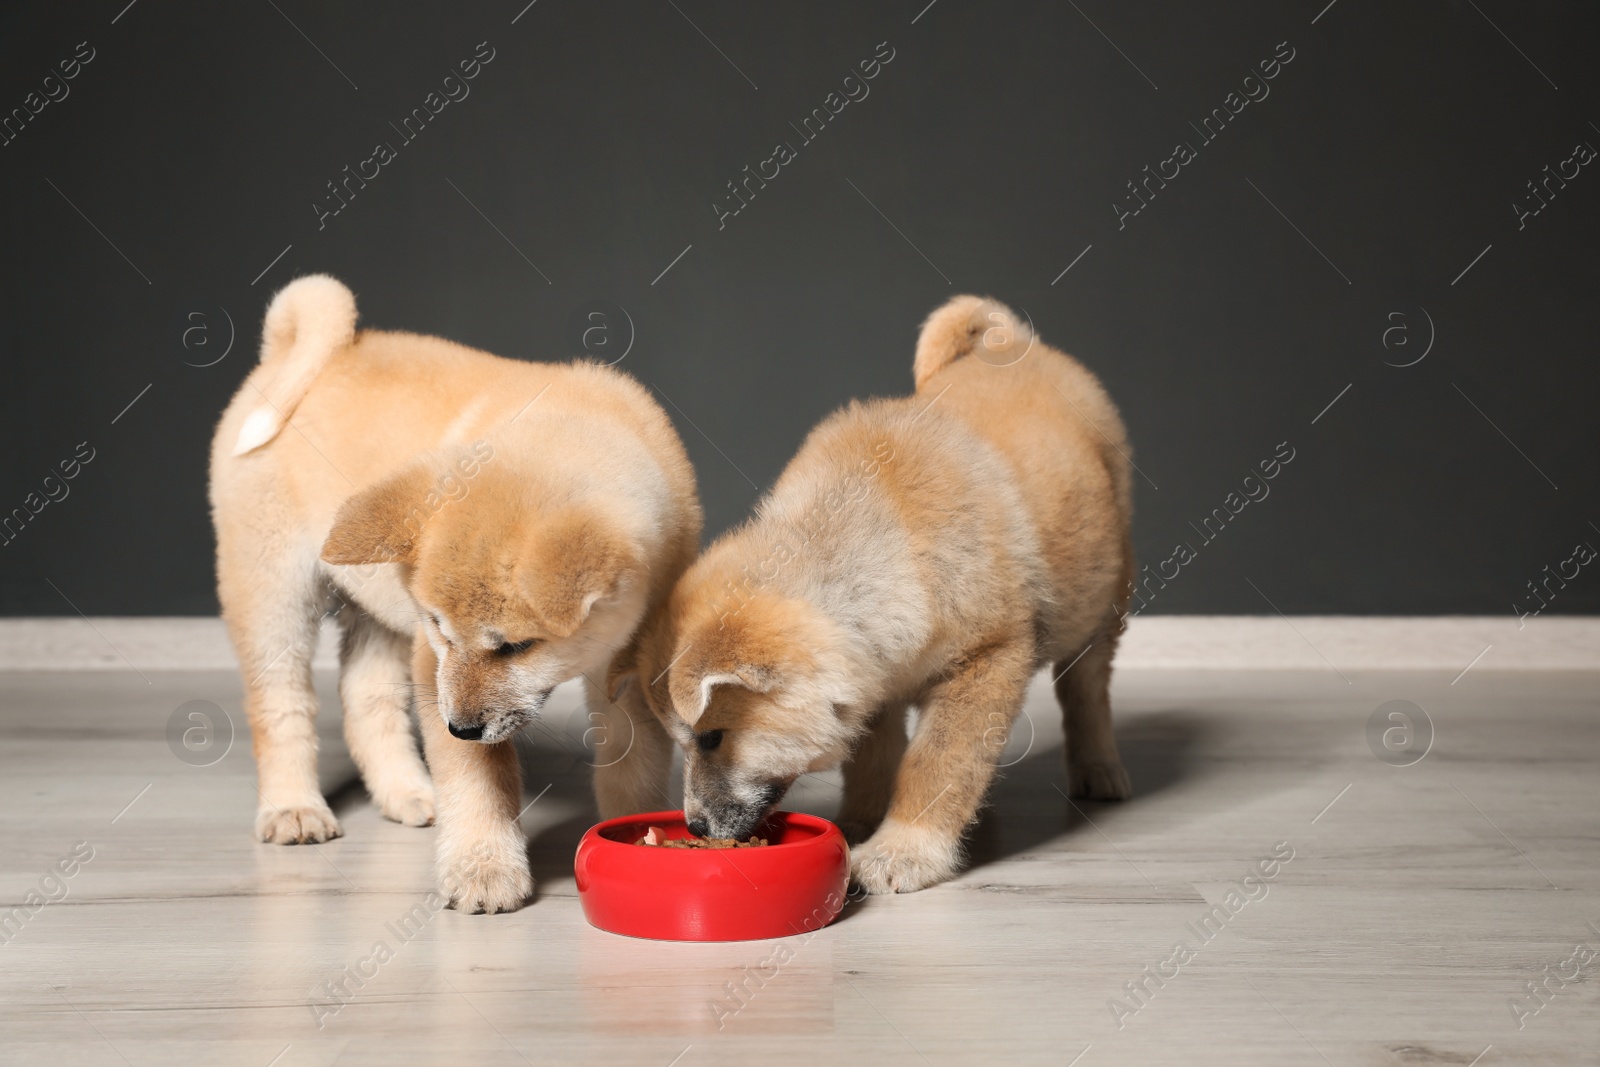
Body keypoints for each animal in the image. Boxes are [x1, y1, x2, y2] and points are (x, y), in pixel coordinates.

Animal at [208, 279, 700, 915]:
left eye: (516, 647)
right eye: (442, 628)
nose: (459, 728)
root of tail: (291, 354)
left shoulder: (631, 670)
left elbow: (632, 762)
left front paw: (636, 828)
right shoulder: (432, 662)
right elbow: (480, 783)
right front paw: (484, 868)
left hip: (379, 612)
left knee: (365, 698)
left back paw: (406, 793)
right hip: (274, 596)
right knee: (280, 704)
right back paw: (293, 807)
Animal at [604, 295, 1132, 895]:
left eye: (712, 737)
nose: (693, 825)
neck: (889, 553)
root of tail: (1016, 345)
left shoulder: (988, 660)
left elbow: (936, 764)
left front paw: (903, 848)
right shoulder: (872, 676)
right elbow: (876, 761)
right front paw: (861, 821)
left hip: (1104, 602)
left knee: (1087, 689)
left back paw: (1099, 767)